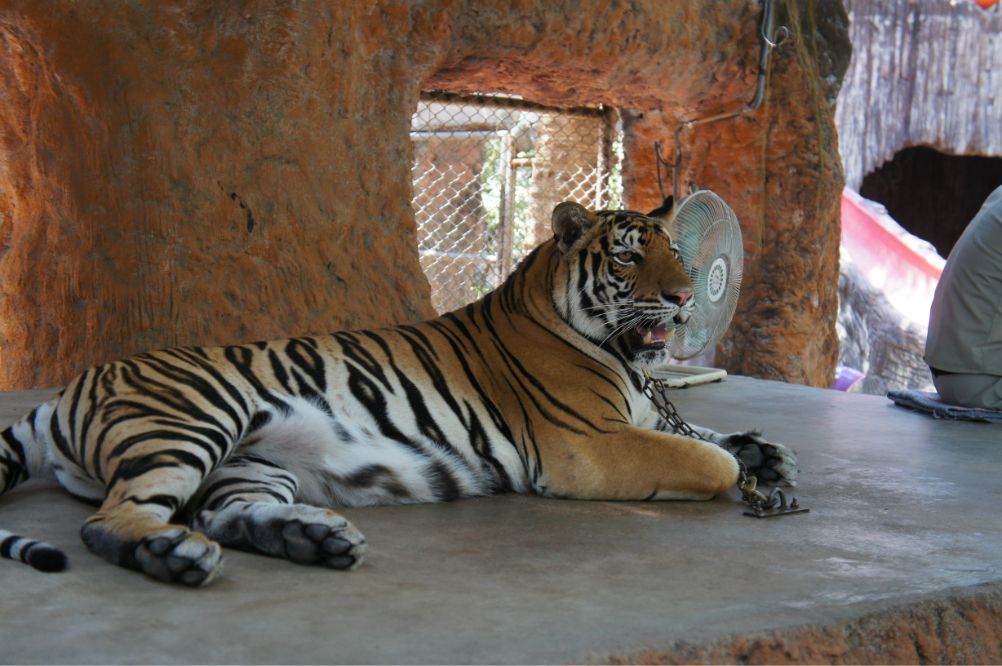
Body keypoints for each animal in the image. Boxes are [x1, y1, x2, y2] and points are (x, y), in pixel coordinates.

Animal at [0, 195, 797, 584]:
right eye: (630, 258)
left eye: (680, 254)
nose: (686, 297)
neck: (629, 361)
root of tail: (68, 390)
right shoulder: (589, 444)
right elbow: (708, 459)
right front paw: (748, 475)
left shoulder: (643, 415)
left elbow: (711, 433)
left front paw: (770, 455)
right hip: (191, 420)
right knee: (111, 521)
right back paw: (174, 557)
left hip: (249, 464)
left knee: (225, 515)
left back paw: (308, 539)